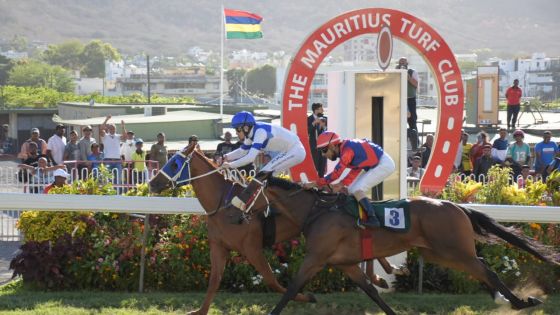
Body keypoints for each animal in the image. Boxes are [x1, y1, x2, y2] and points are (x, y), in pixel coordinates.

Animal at [149, 145, 402, 314]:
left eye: (174, 163)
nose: (152, 183)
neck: (224, 204)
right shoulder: (219, 246)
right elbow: (214, 280)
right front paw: (200, 310)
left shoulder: (252, 248)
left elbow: (272, 281)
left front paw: (308, 296)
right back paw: (382, 274)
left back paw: (384, 272)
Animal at [264, 179, 560, 314]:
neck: (317, 211)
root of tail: (457, 206)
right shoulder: (345, 263)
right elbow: (372, 292)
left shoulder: (315, 258)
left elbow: (291, 288)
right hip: (442, 254)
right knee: (482, 269)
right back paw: (510, 299)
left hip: (454, 250)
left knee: (488, 271)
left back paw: (521, 301)